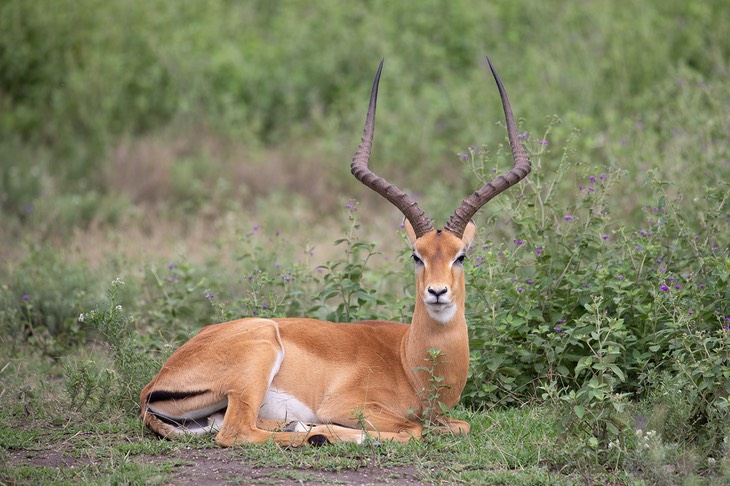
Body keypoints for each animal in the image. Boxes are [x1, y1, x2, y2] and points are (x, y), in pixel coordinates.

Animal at [139, 55, 528, 446]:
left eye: (460, 256)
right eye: (416, 256)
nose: (436, 292)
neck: (408, 361)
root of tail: (155, 384)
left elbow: (459, 425)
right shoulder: (348, 405)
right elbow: (413, 430)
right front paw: (332, 431)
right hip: (257, 361)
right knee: (236, 432)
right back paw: (315, 434)